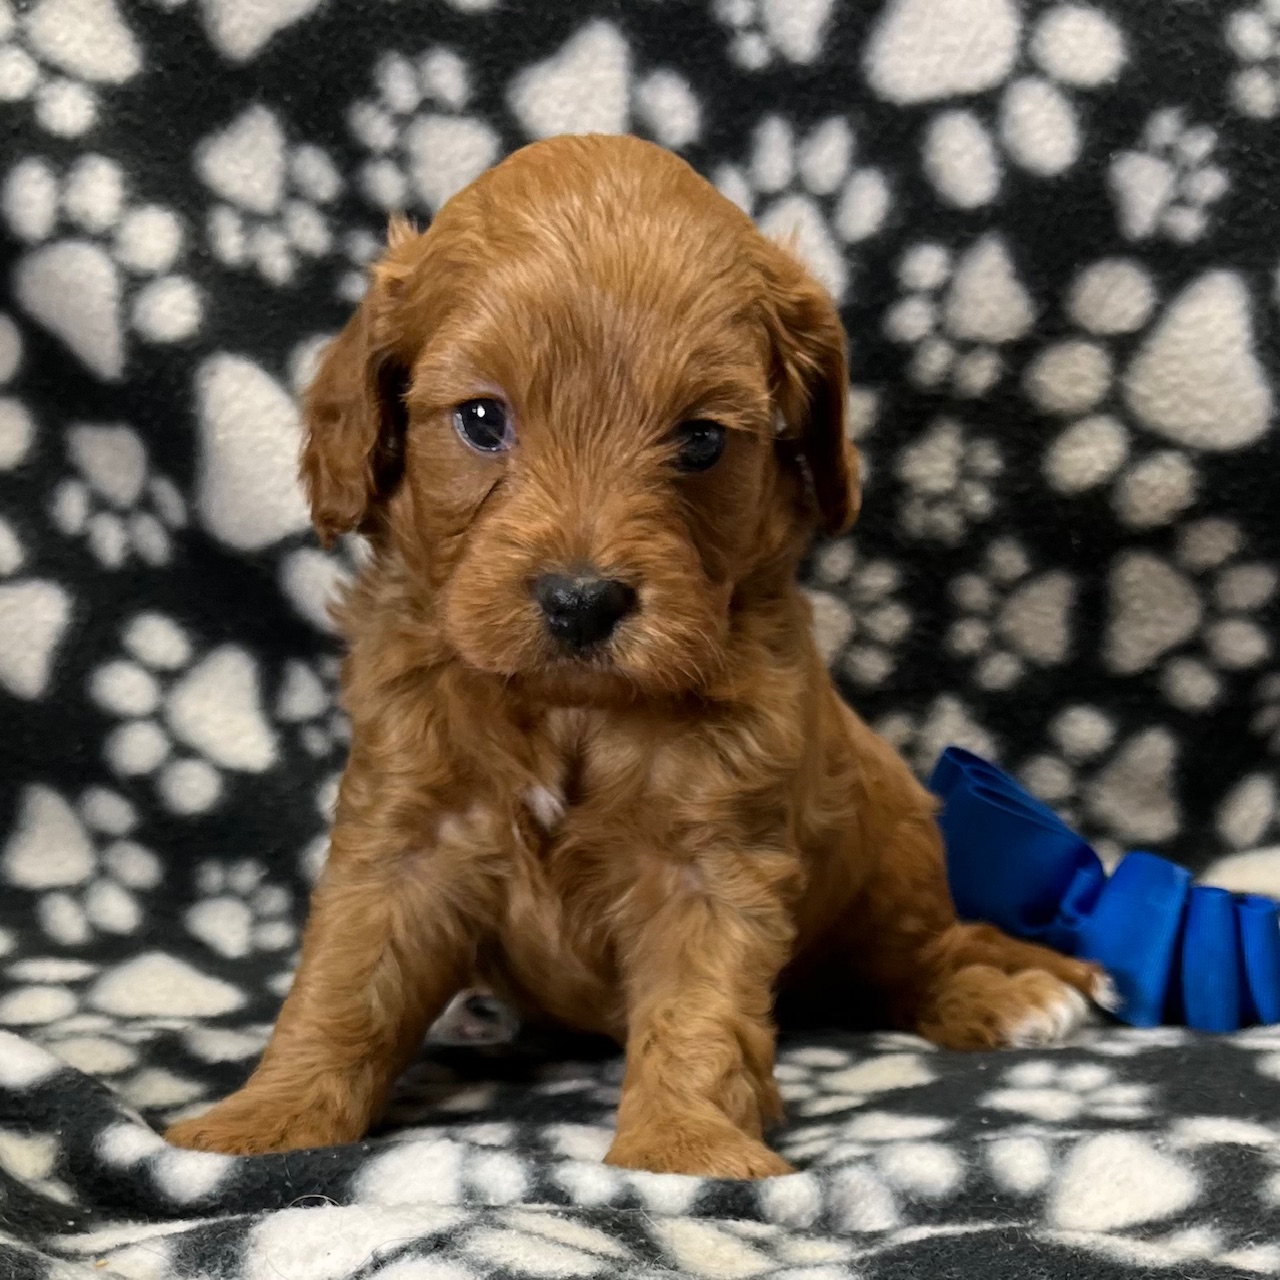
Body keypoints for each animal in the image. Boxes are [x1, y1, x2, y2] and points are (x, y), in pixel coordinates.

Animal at [170, 135, 1111, 1172]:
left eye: (700, 440)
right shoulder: (406, 829)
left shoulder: (714, 855)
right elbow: (343, 980)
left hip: (892, 850)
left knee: (924, 954)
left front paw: (683, 1149)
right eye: (482, 419)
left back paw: (1002, 996)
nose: (582, 601)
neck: (570, 704)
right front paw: (266, 1120)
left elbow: (702, 1011)